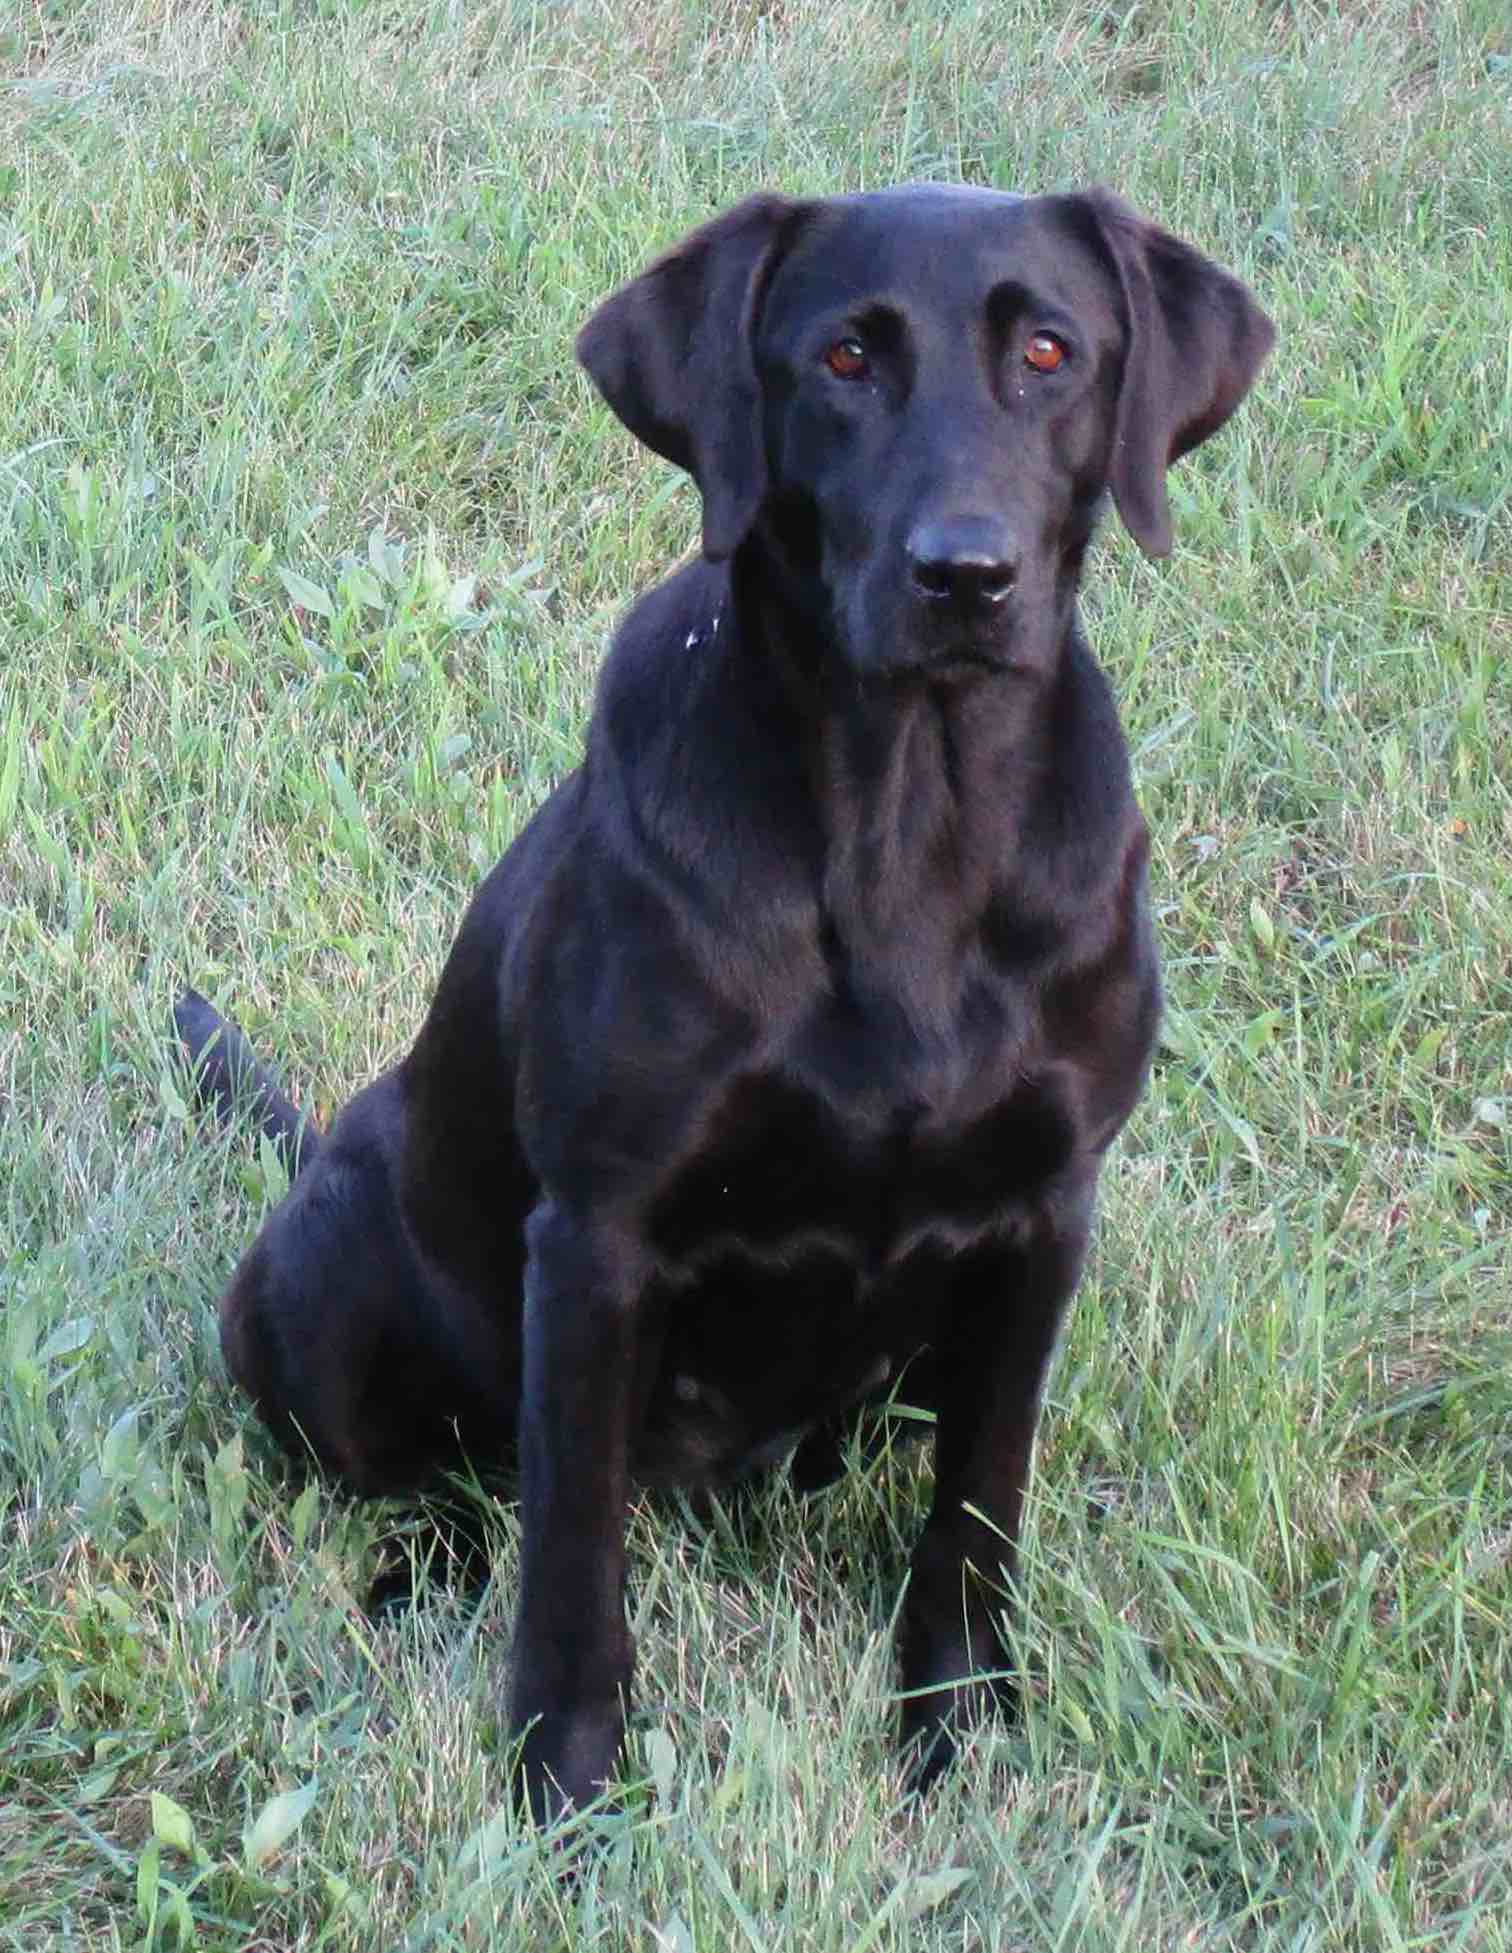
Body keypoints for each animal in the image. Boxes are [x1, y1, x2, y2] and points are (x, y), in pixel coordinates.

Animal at [180, 183, 1281, 1812]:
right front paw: (565, 1791)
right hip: (324, 1280)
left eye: (1048, 351)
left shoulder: (1042, 1223)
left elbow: (977, 1514)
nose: (966, 574)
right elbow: (573, 1561)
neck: (910, 825)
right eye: (844, 358)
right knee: (443, 1483)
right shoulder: (597, 1242)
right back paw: (416, 1575)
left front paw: (957, 1732)